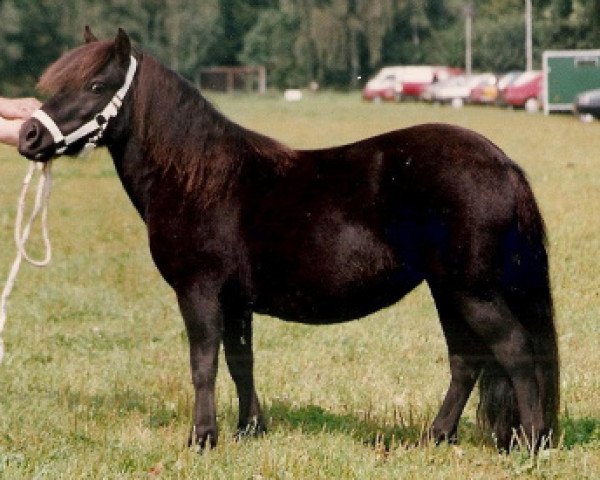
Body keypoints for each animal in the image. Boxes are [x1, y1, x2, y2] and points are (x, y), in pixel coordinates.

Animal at [21, 29, 560, 450]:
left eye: (95, 85)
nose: (28, 136)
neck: (198, 179)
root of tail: (502, 163)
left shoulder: (199, 292)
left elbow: (203, 363)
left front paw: (202, 438)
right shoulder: (235, 301)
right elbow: (240, 362)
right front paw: (248, 430)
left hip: (473, 291)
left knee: (514, 349)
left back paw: (530, 442)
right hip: (449, 290)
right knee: (466, 360)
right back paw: (436, 436)